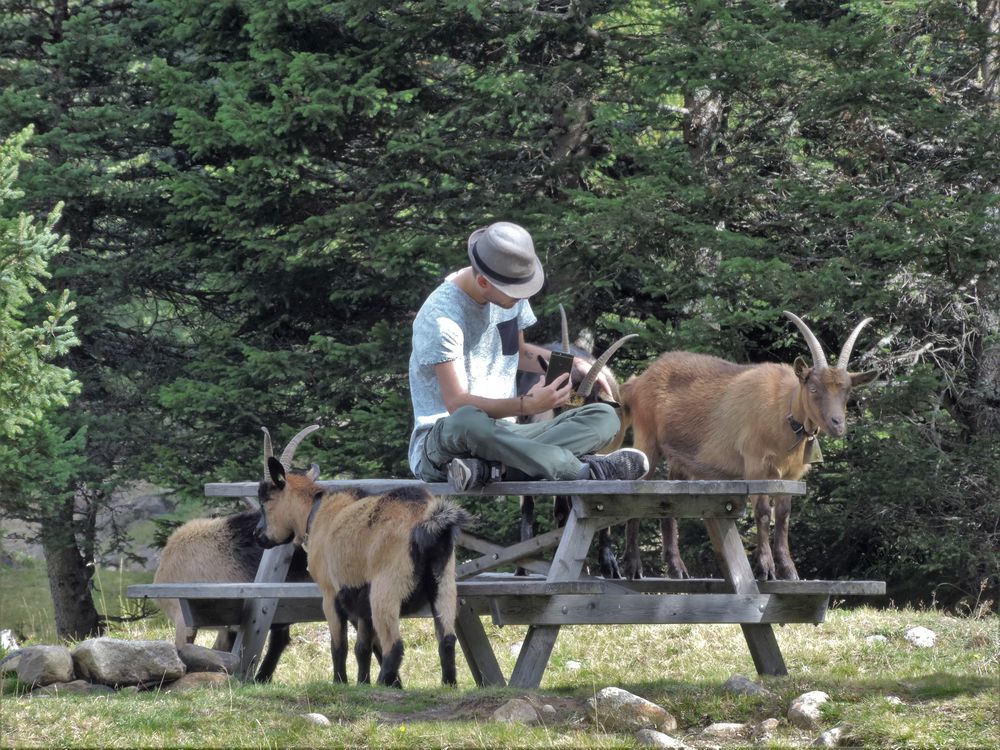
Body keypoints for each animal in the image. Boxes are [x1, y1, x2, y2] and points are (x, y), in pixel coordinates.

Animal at [254, 426, 472, 692]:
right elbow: (363, 648)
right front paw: (361, 682)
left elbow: (340, 646)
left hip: (386, 588)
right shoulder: (361, 600)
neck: (315, 513)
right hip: (443, 582)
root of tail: (428, 519)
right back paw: (448, 686)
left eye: (265, 499)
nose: (257, 534)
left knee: (395, 646)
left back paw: (383, 684)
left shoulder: (330, 593)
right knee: (447, 639)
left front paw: (341, 682)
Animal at [620, 312, 872, 580]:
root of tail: (637, 382)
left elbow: (783, 515)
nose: (838, 424)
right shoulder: (755, 464)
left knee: (669, 506)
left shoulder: (791, 476)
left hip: (679, 457)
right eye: (813, 388)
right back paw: (633, 567)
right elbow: (762, 513)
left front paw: (789, 570)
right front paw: (766, 568)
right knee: (636, 495)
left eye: (847, 391)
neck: (782, 410)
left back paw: (677, 569)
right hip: (646, 439)